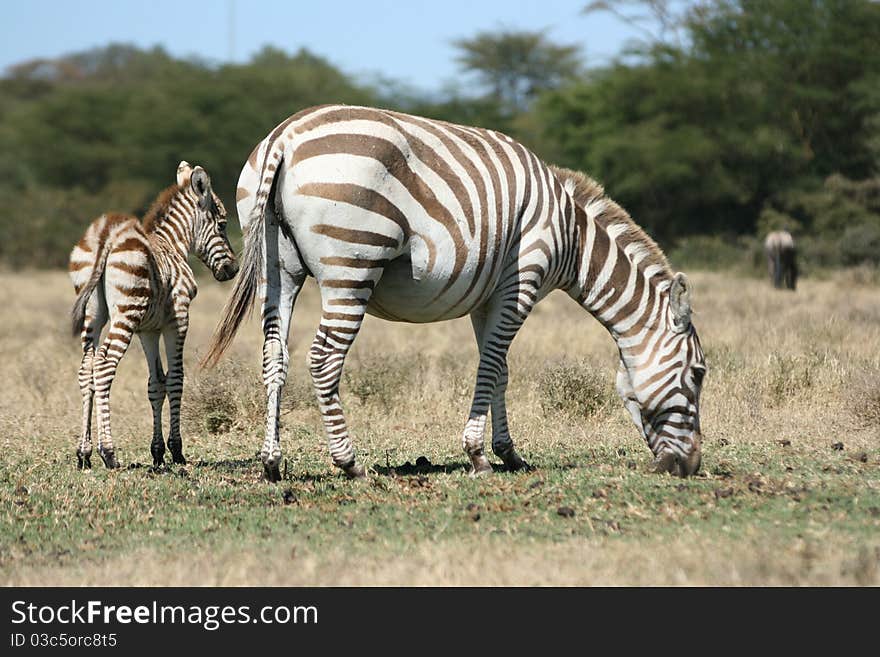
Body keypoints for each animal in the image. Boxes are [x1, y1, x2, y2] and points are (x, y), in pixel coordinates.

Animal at [70, 164, 237, 472]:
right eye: (222, 224)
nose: (232, 269)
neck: (172, 244)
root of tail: (106, 235)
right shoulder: (178, 319)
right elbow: (175, 379)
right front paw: (177, 451)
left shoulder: (148, 330)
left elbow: (155, 384)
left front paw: (158, 453)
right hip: (125, 313)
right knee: (104, 365)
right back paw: (108, 452)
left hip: (93, 314)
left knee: (87, 368)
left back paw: (83, 453)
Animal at [203, 104, 704, 482]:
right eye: (699, 374)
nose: (689, 467)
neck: (572, 236)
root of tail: (284, 137)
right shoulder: (521, 281)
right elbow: (491, 366)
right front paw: (479, 455)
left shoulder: (490, 296)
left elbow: (501, 370)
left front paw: (509, 453)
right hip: (353, 264)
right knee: (324, 359)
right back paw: (350, 463)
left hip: (278, 269)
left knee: (275, 355)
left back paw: (272, 462)